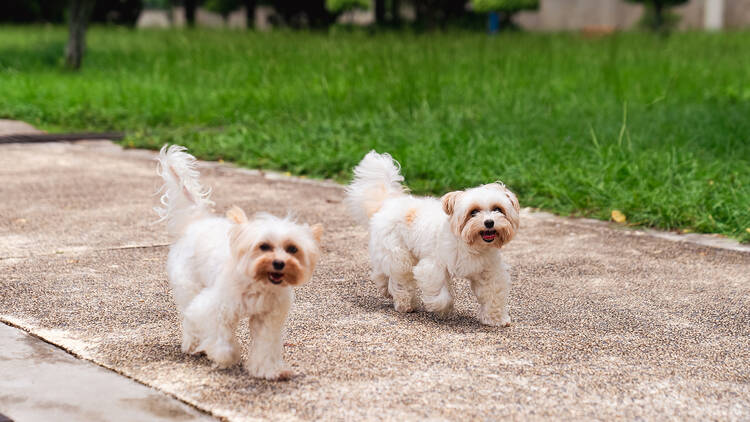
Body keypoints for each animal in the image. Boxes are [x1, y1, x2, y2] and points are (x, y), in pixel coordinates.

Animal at [156, 144, 324, 380]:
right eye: (264, 246)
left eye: (292, 249)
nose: (279, 263)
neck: (258, 283)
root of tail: (197, 222)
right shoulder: (216, 308)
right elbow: (221, 338)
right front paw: (226, 357)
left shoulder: (268, 319)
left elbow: (265, 346)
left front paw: (268, 370)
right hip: (189, 286)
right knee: (189, 317)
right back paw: (193, 345)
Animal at [348, 152, 520, 326]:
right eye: (473, 212)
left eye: (497, 209)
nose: (489, 222)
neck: (470, 244)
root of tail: (390, 202)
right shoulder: (434, 267)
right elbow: (441, 295)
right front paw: (444, 310)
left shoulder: (488, 271)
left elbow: (493, 294)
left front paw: (496, 318)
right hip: (399, 256)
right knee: (400, 279)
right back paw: (406, 303)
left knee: (382, 271)